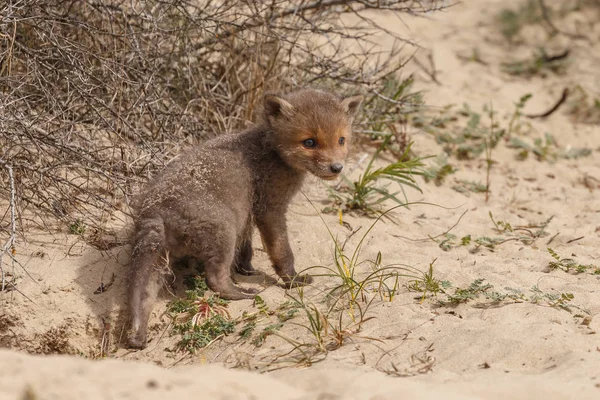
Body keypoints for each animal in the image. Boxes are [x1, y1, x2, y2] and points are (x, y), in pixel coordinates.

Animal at [129, 87, 364, 346]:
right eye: (309, 142)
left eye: (341, 140)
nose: (337, 168)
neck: (270, 150)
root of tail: (156, 210)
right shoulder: (270, 209)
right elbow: (282, 252)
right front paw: (292, 281)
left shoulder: (248, 214)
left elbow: (247, 248)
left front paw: (247, 270)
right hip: (223, 231)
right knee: (215, 278)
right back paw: (239, 293)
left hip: (157, 258)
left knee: (143, 297)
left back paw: (137, 336)